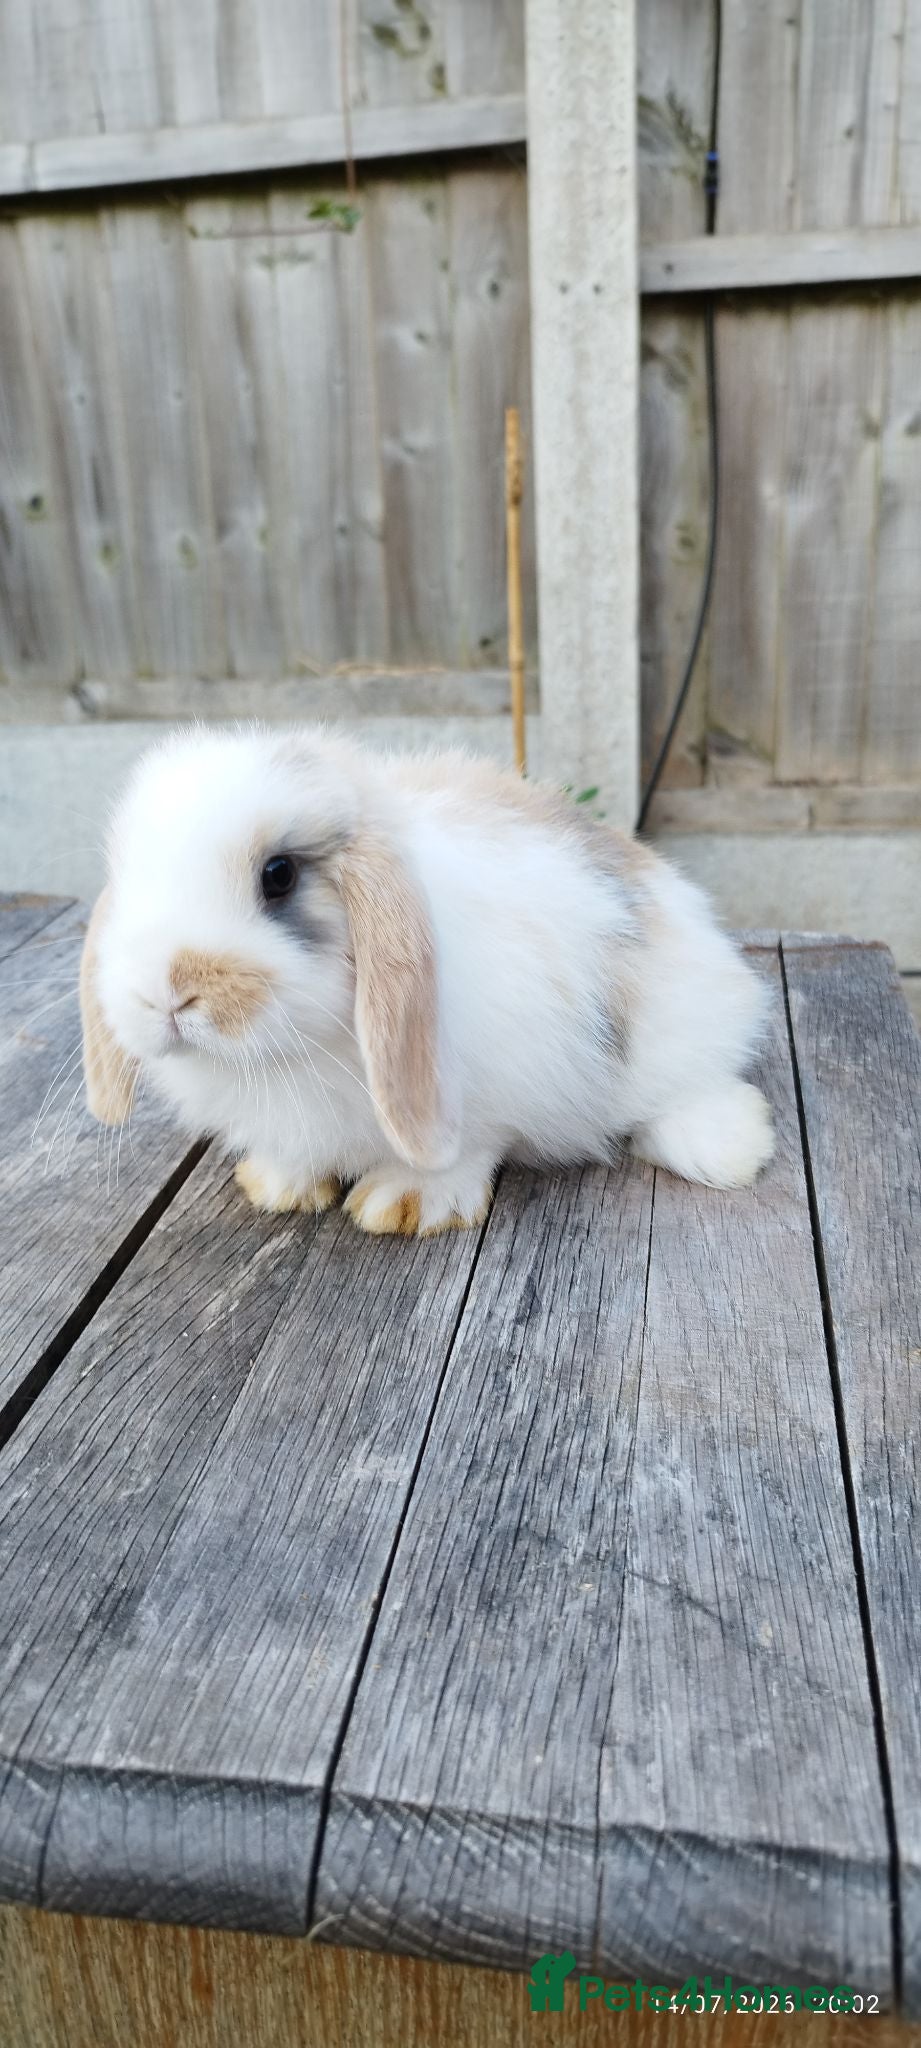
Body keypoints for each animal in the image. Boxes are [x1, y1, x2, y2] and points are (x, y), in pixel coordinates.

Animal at [80, 723, 774, 1236]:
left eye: (278, 875)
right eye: (127, 874)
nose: (163, 994)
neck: (295, 1054)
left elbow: (468, 1148)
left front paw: (403, 1204)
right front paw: (278, 1185)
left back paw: (733, 1145)